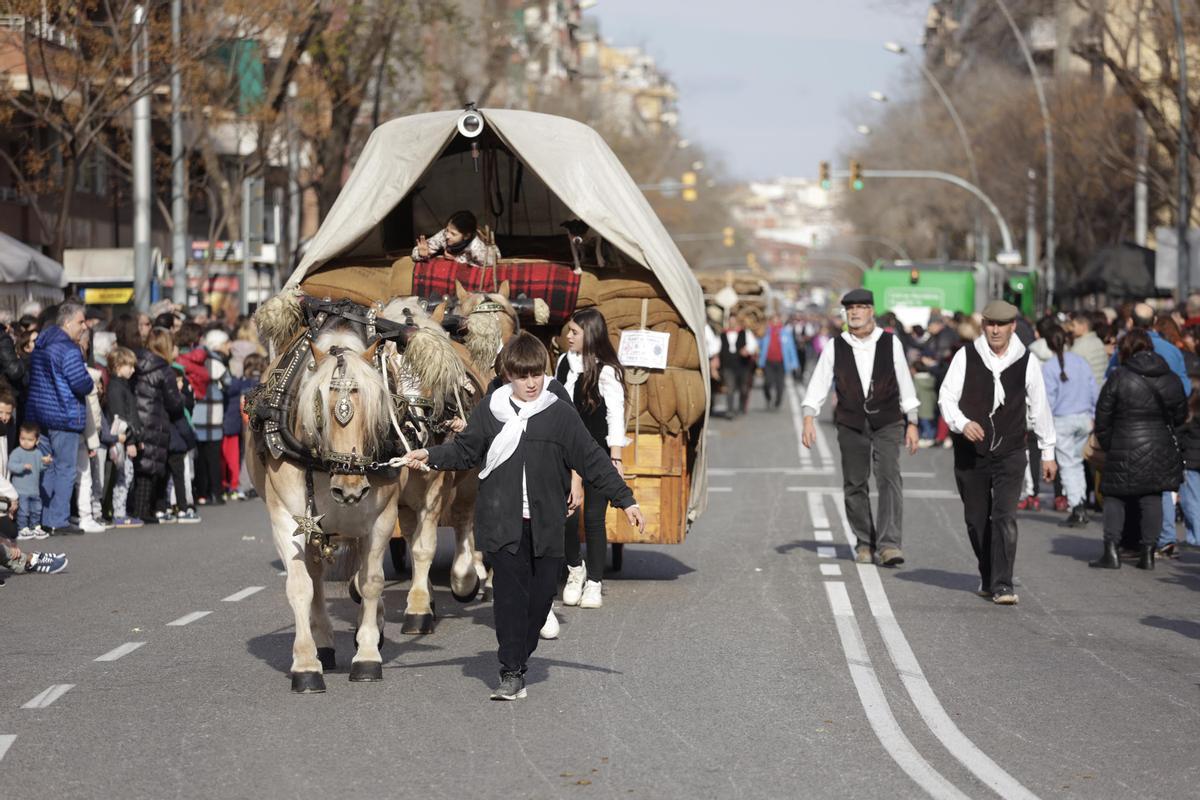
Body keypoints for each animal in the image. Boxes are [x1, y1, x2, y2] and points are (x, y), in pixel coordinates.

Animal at [246, 297, 475, 690]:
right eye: (318, 410)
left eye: (375, 407)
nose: (350, 487)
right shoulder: (288, 518)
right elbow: (301, 586)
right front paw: (306, 663)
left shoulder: (385, 514)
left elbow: (374, 580)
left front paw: (367, 654)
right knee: (318, 577)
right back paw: (326, 642)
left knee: (444, 528)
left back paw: (440, 592)